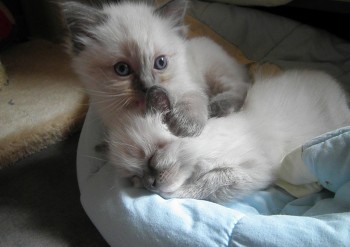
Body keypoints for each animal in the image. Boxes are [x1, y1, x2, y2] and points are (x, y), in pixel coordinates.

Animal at [61, 0, 250, 137]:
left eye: (161, 63)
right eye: (122, 69)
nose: (148, 87)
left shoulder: (187, 86)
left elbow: (192, 99)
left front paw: (184, 126)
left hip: (215, 70)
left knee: (241, 87)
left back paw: (218, 106)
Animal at [107, 69, 350, 203]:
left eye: (152, 159)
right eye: (135, 177)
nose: (151, 185)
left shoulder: (253, 171)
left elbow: (207, 185)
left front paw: (173, 195)